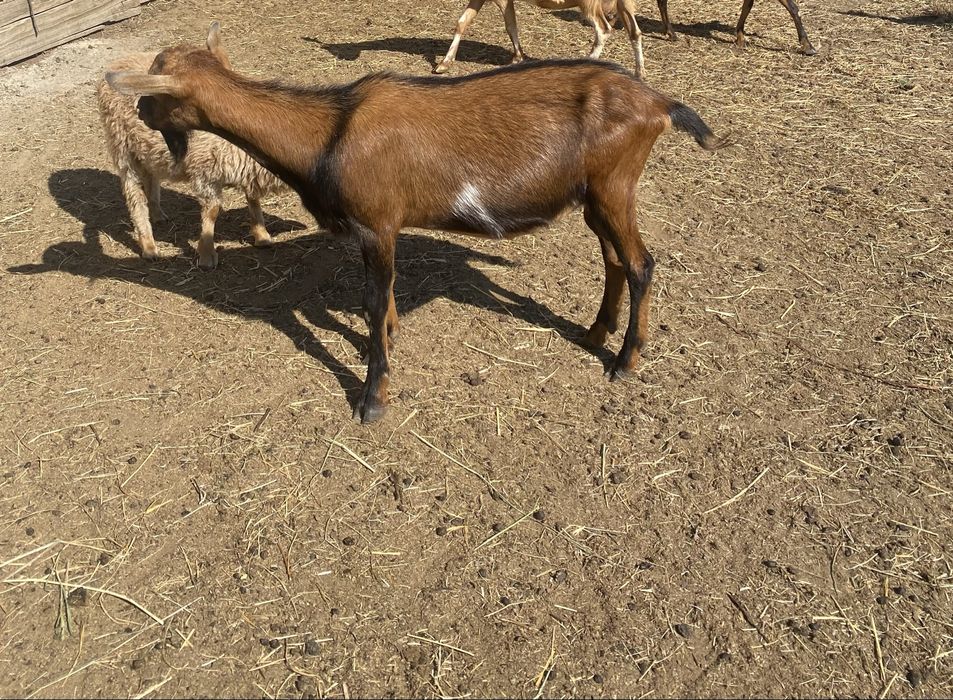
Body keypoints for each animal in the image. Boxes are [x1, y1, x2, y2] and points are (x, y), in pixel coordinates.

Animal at [98, 52, 287, 269]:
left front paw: (262, 235)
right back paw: (149, 246)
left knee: (151, 179)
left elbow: (253, 199)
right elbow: (212, 211)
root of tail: (118, 62)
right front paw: (206, 255)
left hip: (146, 152)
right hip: (122, 147)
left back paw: (158, 215)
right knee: (134, 196)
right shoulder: (204, 172)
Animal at [435, 0, 647, 78]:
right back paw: (639, 72)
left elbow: (510, 24)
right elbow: (462, 23)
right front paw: (444, 64)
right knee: (635, 32)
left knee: (603, 29)